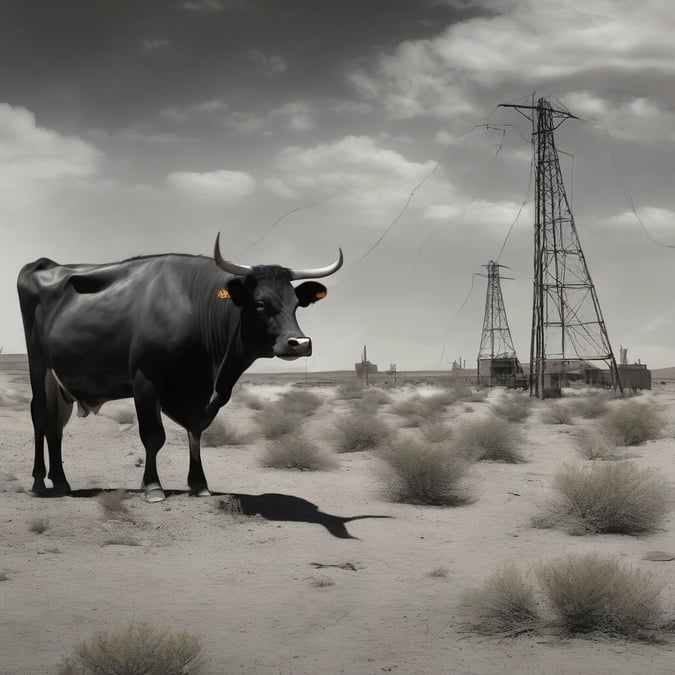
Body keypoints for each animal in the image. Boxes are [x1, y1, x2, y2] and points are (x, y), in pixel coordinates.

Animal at [17, 234, 342, 502]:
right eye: (261, 304)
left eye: (297, 305)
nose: (299, 343)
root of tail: (46, 264)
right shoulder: (146, 379)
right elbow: (153, 435)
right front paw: (153, 487)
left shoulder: (197, 392)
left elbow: (195, 431)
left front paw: (199, 484)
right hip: (39, 367)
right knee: (40, 416)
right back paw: (38, 482)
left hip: (60, 381)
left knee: (56, 425)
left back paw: (61, 482)